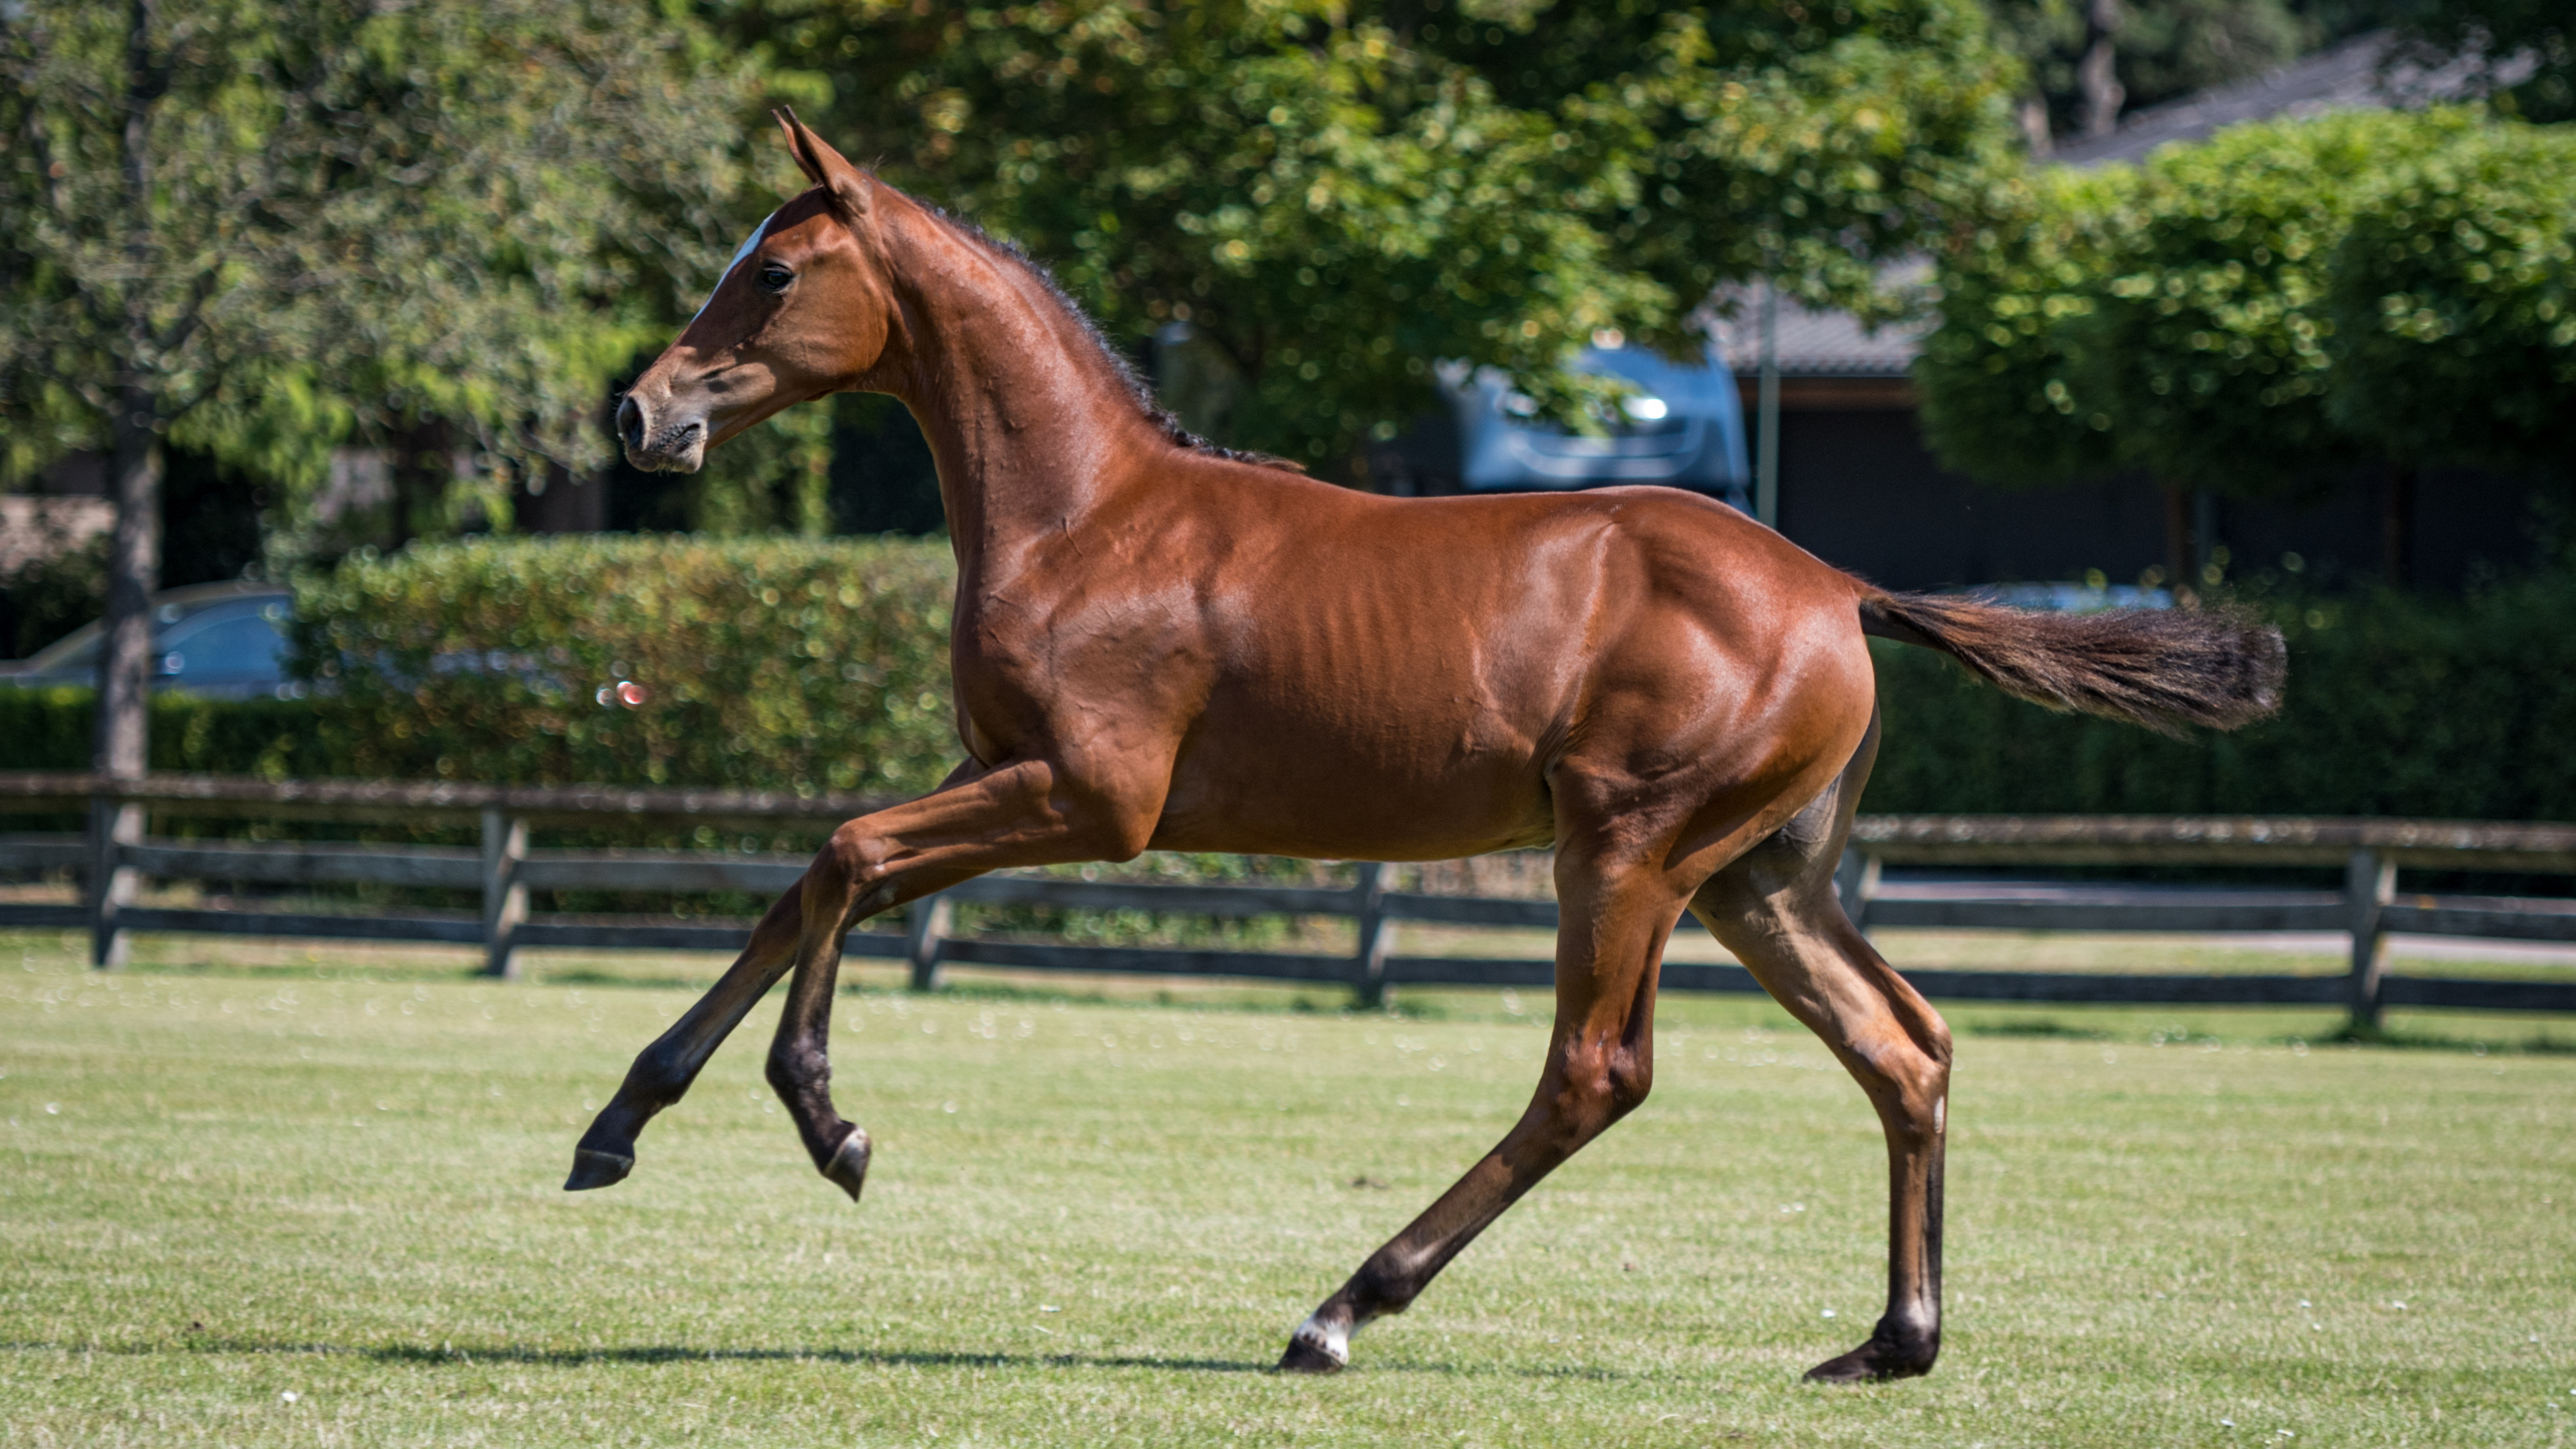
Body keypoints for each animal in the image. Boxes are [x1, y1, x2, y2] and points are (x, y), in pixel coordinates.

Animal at [574, 109, 2285, 1380]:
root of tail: (1839, 588)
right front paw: (615, 1125)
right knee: (1904, 1046)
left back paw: (1342, 1308)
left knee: (1595, 1074)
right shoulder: (993, 772)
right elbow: (803, 883)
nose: (641, 417)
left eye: (773, 271)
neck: (1088, 516)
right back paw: (1890, 1341)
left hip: (1625, 851)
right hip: (1760, 881)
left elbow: (844, 856)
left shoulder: (1092, 801)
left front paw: (828, 1122)